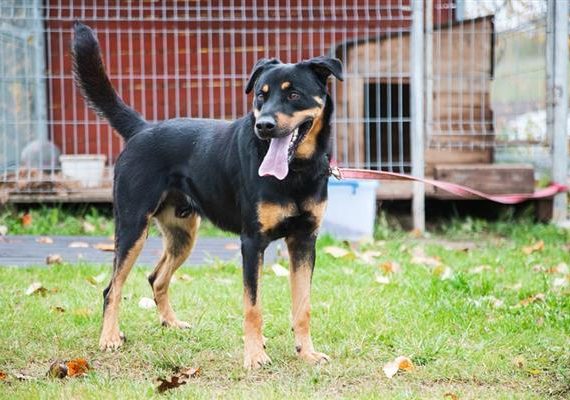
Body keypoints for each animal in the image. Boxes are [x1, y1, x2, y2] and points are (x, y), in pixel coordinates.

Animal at [72, 22, 343, 369]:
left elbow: (303, 306)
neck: (296, 171)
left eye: (293, 94)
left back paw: (171, 324)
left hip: (182, 234)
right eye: (261, 95)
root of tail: (141, 129)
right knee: (112, 288)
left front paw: (306, 352)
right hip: (132, 227)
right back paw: (109, 338)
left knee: (156, 278)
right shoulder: (252, 243)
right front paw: (255, 355)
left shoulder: (305, 241)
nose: (264, 126)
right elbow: (252, 307)